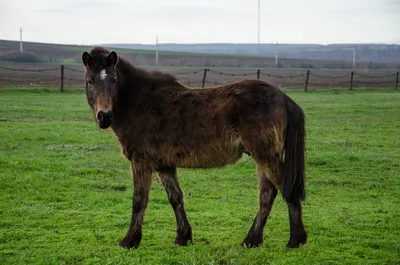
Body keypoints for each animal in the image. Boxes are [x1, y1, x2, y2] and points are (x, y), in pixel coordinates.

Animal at [80, 46, 306, 249]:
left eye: (113, 80)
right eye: (90, 80)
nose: (104, 116)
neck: (140, 102)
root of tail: (283, 97)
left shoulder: (141, 162)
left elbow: (139, 200)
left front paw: (129, 241)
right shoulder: (164, 165)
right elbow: (175, 198)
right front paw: (183, 237)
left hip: (265, 155)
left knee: (285, 189)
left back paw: (295, 240)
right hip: (261, 157)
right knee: (267, 195)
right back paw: (251, 240)